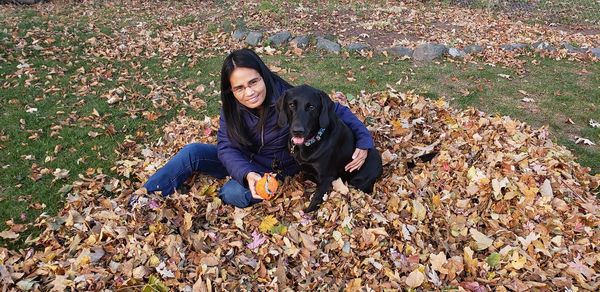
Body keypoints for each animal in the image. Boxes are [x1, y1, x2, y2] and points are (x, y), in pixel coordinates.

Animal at [278, 84, 384, 212]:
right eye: (292, 105)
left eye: (311, 107)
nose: (297, 131)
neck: (311, 141)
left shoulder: (326, 177)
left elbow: (316, 199)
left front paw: (308, 212)